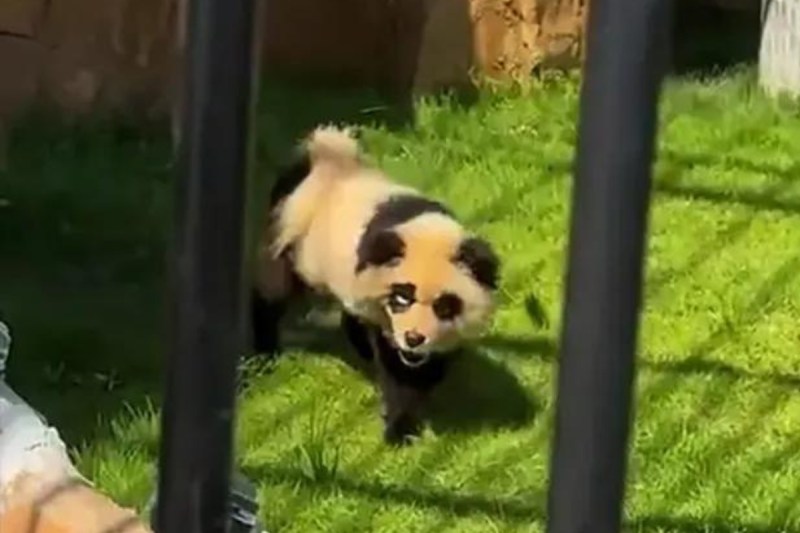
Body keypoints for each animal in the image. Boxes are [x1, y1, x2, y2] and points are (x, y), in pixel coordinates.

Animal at [250, 125, 500, 445]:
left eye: (444, 305)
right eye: (402, 297)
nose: (414, 339)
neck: (425, 228)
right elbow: (396, 370)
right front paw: (402, 429)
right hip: (293, 237)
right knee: (272, 290)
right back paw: (264, 354)